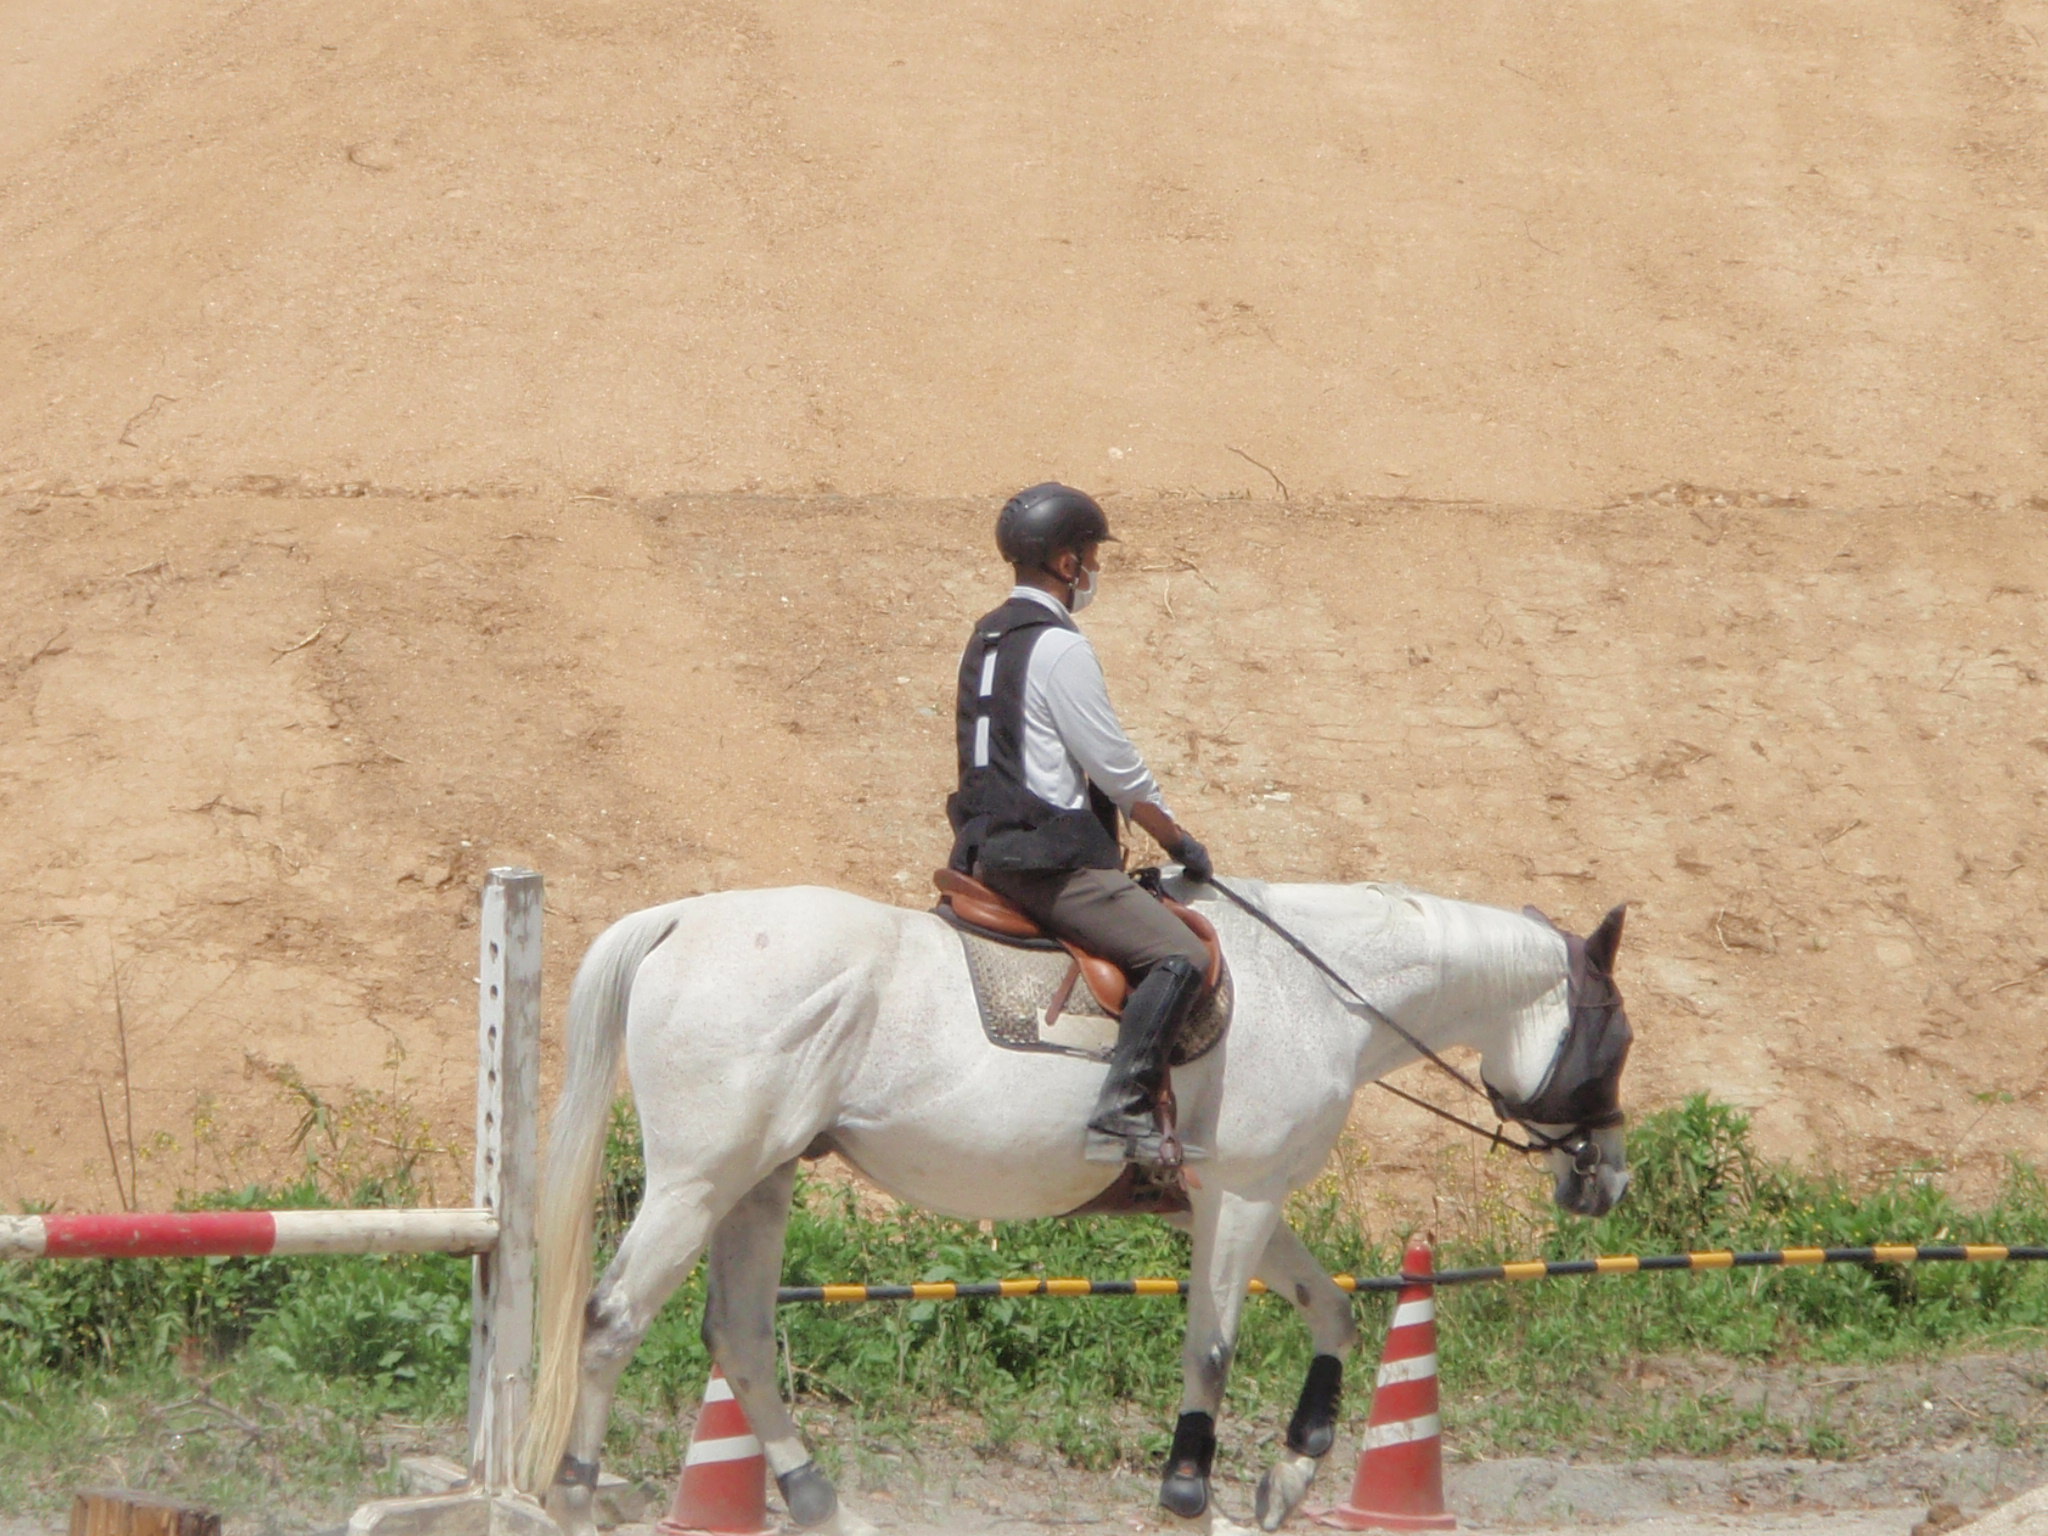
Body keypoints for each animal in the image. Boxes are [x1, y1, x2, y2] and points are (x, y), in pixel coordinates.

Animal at [515, 876, 1635, 1536]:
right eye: (1615, 1040)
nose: (1608, 1181)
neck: (1317, 990)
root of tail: (681, 918)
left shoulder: (1218, 1201)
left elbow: (1335, 1311)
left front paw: (1290, 1477)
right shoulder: (1241, 1198)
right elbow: (1212, 1349)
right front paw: (1187, 1493)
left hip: (759, 1180)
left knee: (738, 1336)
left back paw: (819, 1503)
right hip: (702, 1179)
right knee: (613, 1321)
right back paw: (572, 1493)